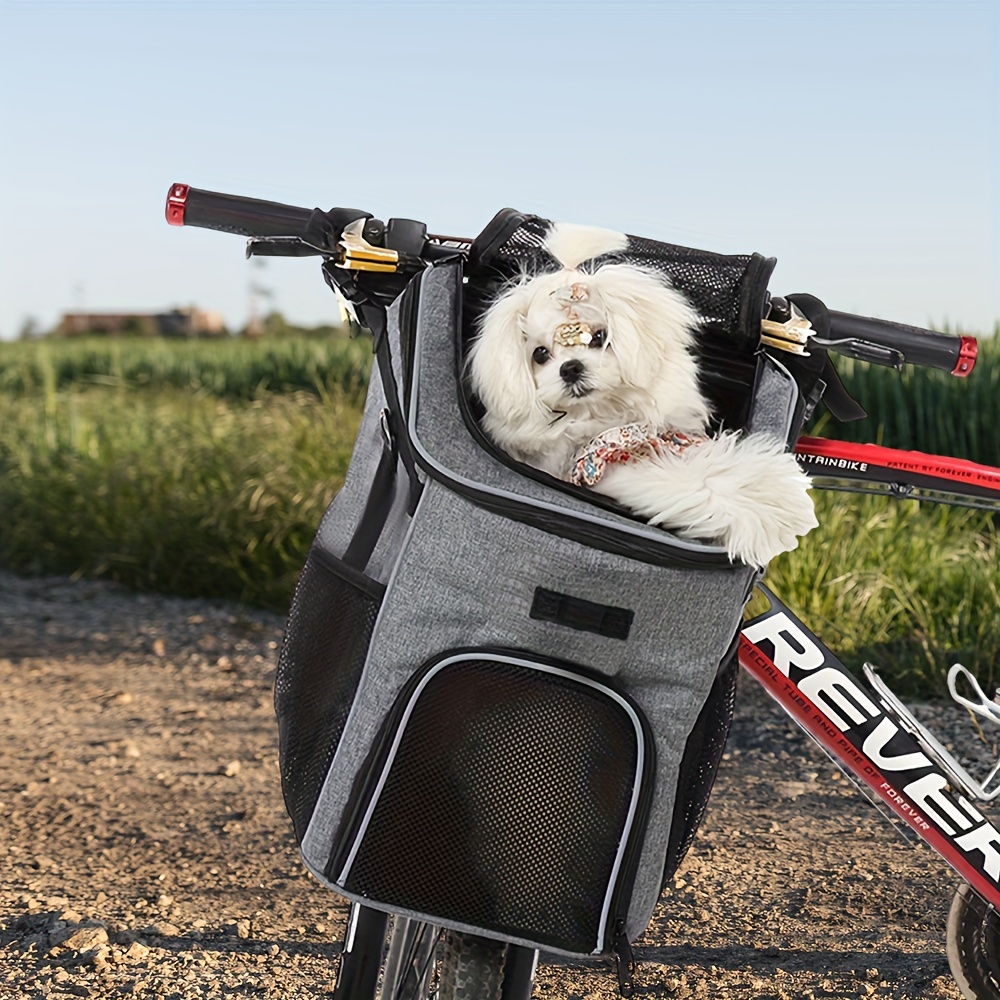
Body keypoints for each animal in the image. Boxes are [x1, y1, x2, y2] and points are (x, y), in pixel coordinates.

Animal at [464, 224, 816, 568]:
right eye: (539, 354)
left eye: (599, 337)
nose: (571, 368)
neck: (604, 416)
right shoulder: (613, 469)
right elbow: (703, 482)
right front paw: (776, 507)